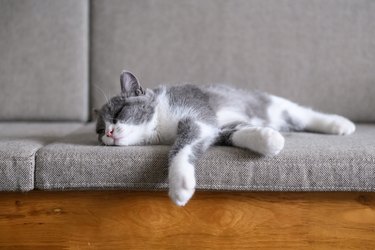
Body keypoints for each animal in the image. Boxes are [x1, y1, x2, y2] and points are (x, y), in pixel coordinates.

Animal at [95, 70, 356, 205]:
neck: (160, 118)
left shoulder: (197, 115)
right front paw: (269, 140)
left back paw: (341, 124)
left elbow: (182, 146)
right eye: (99, 131)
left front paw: (180, 185)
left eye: (118, 113)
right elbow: (235, 133)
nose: (108, 132)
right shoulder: (214, 129)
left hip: (274, 104)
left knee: (304, 114)